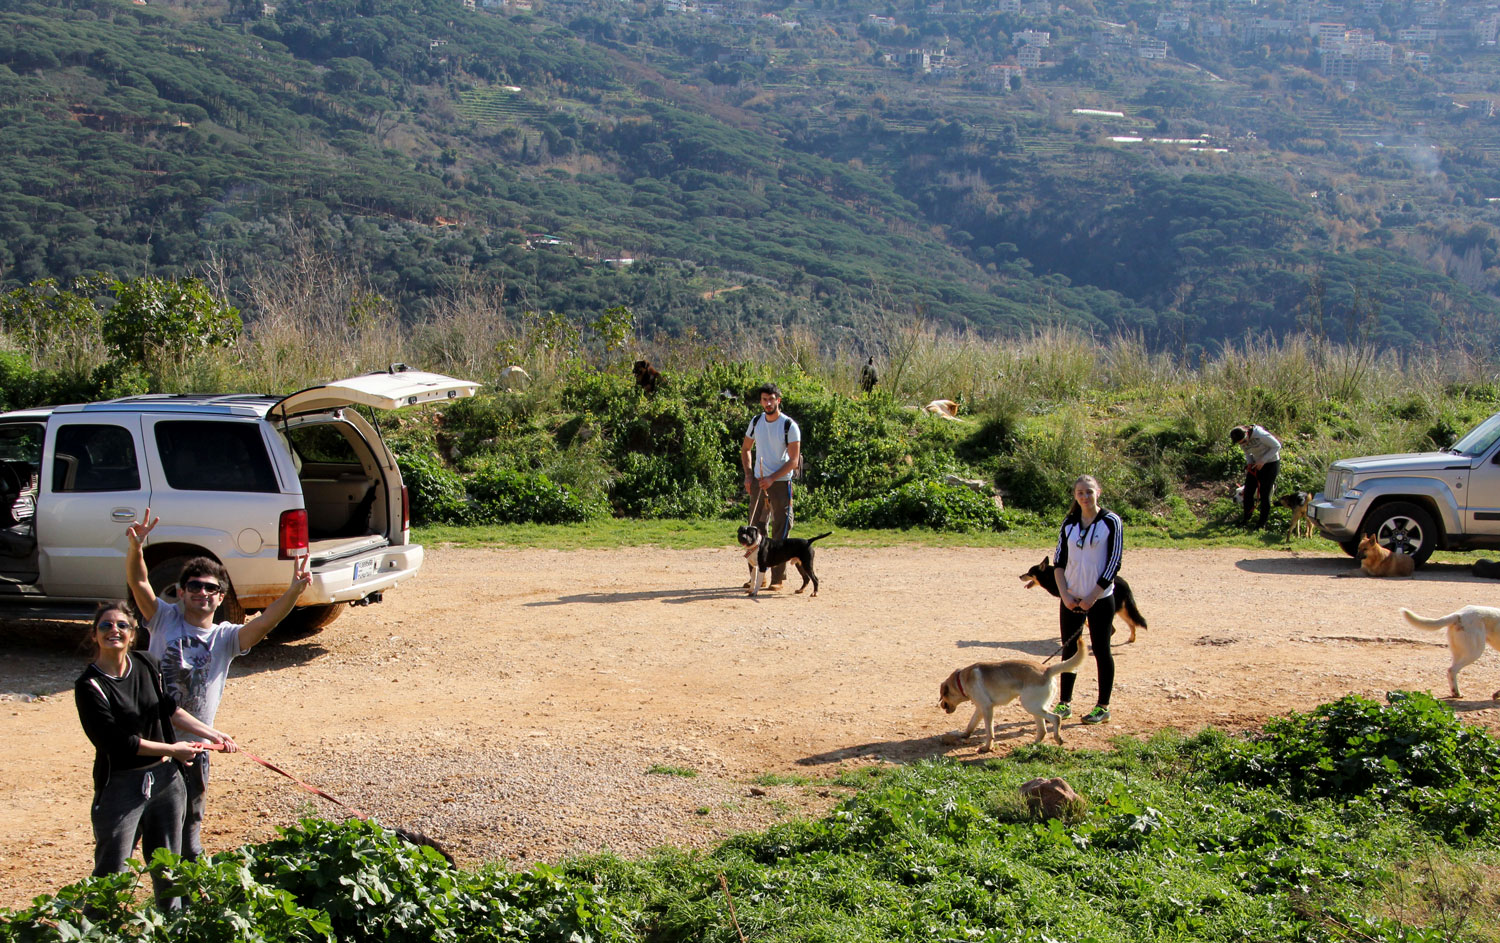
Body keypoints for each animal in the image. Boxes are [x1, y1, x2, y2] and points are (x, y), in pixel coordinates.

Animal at [936, 638, 1092, 749]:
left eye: (943, 696)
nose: (942, 706)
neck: (962, 680)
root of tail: (1047, 670)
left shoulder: (987, 708)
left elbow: (989, 732)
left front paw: (987, 748)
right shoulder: (980, 708)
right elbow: (971, 724)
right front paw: (965, 735)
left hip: (1030, 705)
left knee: (1056, 718)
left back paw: (1057, 738)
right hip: (1036, 707)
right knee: (1042, 730)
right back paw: (1033, 744)